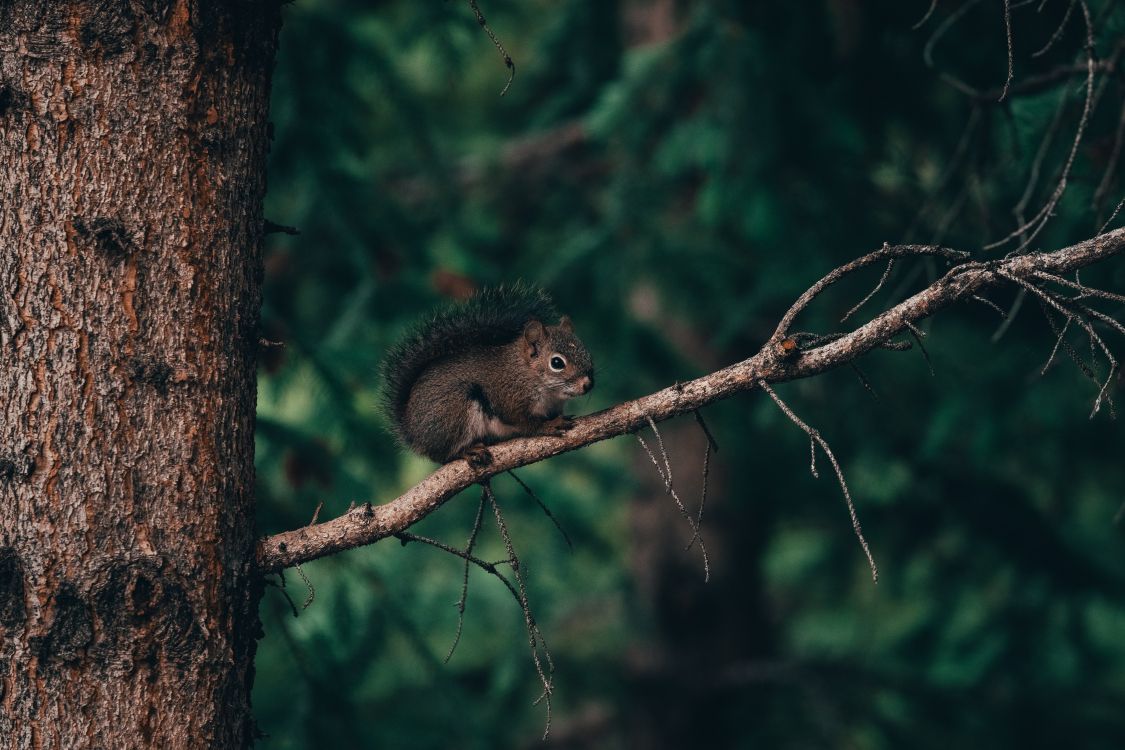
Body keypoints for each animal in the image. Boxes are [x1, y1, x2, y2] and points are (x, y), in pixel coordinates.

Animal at [380, 285, 594, 465]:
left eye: (587, 352)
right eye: (557, 363)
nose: (588, 384)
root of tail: (412, 432)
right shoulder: (510, 398)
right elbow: (525, 423)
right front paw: (548, 426)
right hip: (454, 410)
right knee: (443, 455)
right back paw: (467, 451)